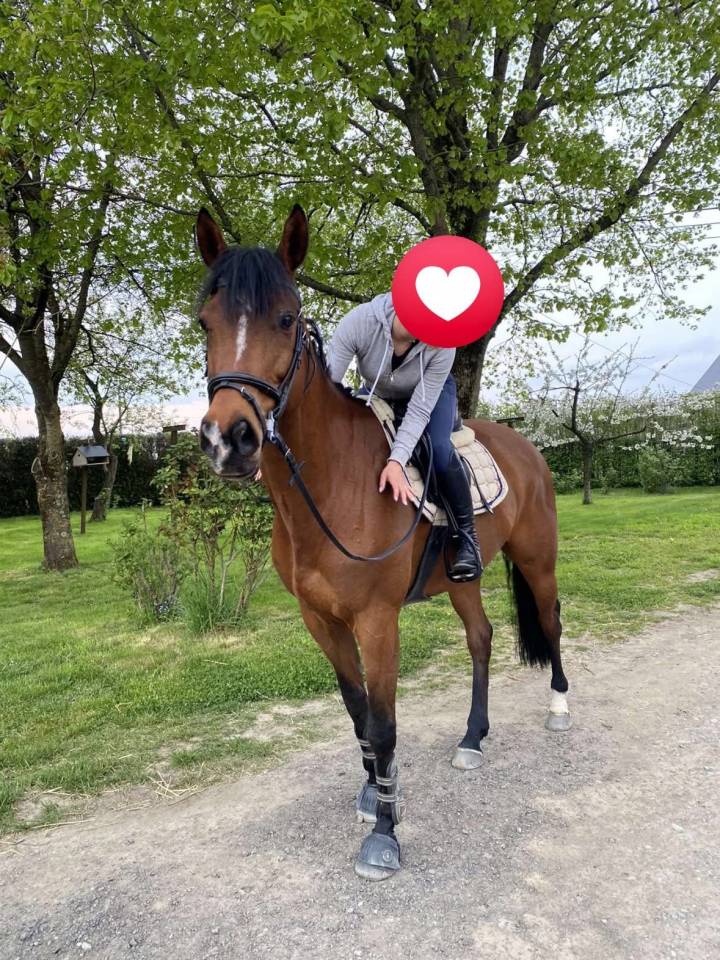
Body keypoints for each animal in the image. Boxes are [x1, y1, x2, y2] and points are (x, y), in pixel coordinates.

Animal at [194, 204, 571, 881]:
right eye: (205, 321)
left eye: (285, 319)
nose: (227, 440)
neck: (330, 485)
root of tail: (527, 446)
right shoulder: (321, 620)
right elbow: (358, 714)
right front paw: (373, 793)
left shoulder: (376, 620)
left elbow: (386, 721)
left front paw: (386, 835)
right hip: (463, 579)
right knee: (482, 638)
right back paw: (472, 739)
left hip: (537, 559)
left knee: (550, 621)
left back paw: (558, 708)